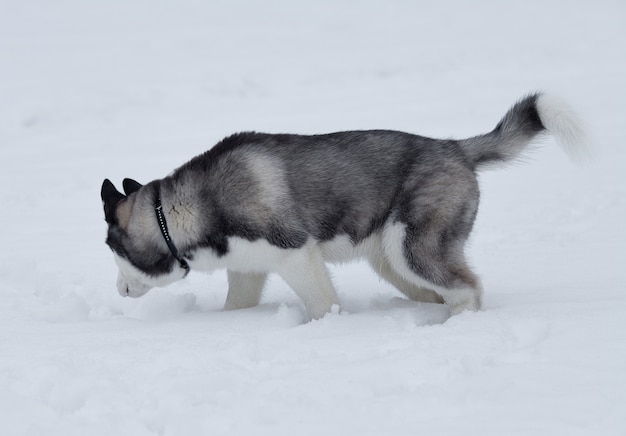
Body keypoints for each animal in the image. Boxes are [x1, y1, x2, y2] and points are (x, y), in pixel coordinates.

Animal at [98, 93, 584, 320]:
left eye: (113, 252)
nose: (117, 291)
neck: (182, 210)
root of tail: (454, 147)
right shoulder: (248, 267)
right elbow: (237, 306)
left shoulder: (297, 253)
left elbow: (322, 305)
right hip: (391, 260)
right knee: (440, 291)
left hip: (413, 248)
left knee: (468, 289)